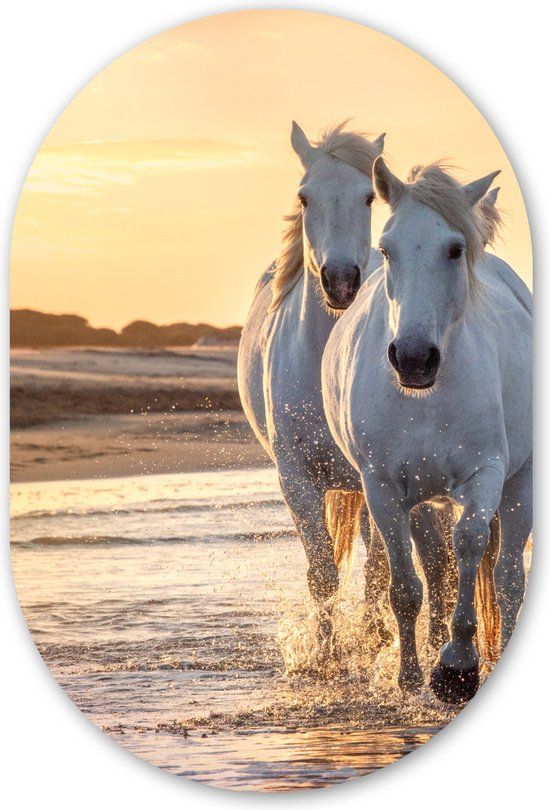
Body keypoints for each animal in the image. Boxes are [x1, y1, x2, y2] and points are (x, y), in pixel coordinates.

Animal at [238, 122, 451, 661]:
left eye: (368, 198)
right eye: (304, 196)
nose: (339, 281)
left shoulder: (380, 481)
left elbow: (378, 571)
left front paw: (372, 641)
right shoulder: (296, 481)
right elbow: (322, 575)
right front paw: (327, 655)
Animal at [322, 158, 532, 702]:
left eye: (454, 249)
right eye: (387, 249)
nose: (414, 359)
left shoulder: (485, 475)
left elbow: (470, 545)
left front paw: (456, 666)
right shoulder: (383, 488)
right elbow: (404, 587)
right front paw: (412, 676)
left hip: (521, 484)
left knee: (508, 578)